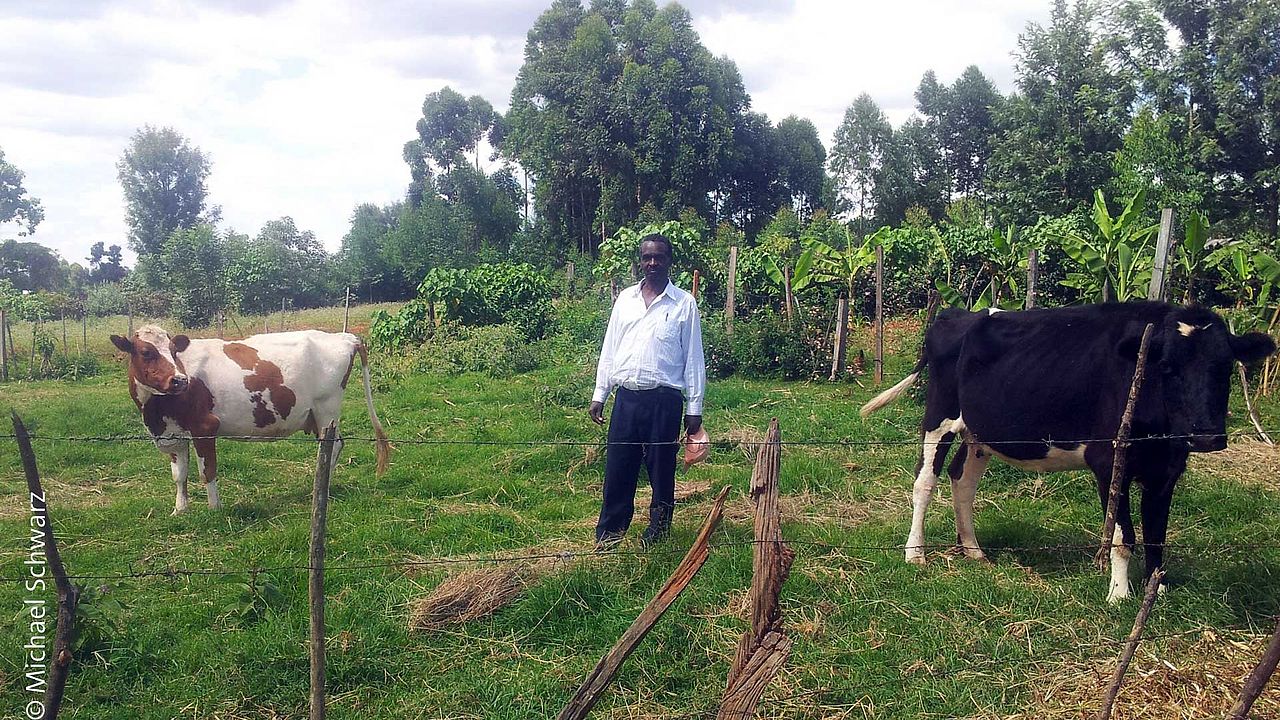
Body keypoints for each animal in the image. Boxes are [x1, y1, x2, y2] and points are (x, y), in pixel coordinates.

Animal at [110, 325, 389, 509]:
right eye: (146, 352)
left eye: (173, 351)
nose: (179, 380)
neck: (156, 412)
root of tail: (344, 336)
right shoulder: (173, 434)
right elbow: (180, 475)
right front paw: (180, 510)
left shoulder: (205, 427)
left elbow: (207, 471)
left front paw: (215, 510)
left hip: (326, 409)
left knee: (331, 446)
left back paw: (319, 490)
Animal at [860, 299, 1269, 597]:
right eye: (1167, 367)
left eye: (1225, 367)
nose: (1207, 436)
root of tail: (958, 314)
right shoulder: (1109, 461)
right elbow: (1123, 536)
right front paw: (1119, 595)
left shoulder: (1167, 471)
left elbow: (1156, 536)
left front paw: (1158, 591)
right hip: (940, 416)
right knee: (924, 482)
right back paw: (915, 553)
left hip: (980, 431)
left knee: (962, 480)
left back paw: (973, 550)